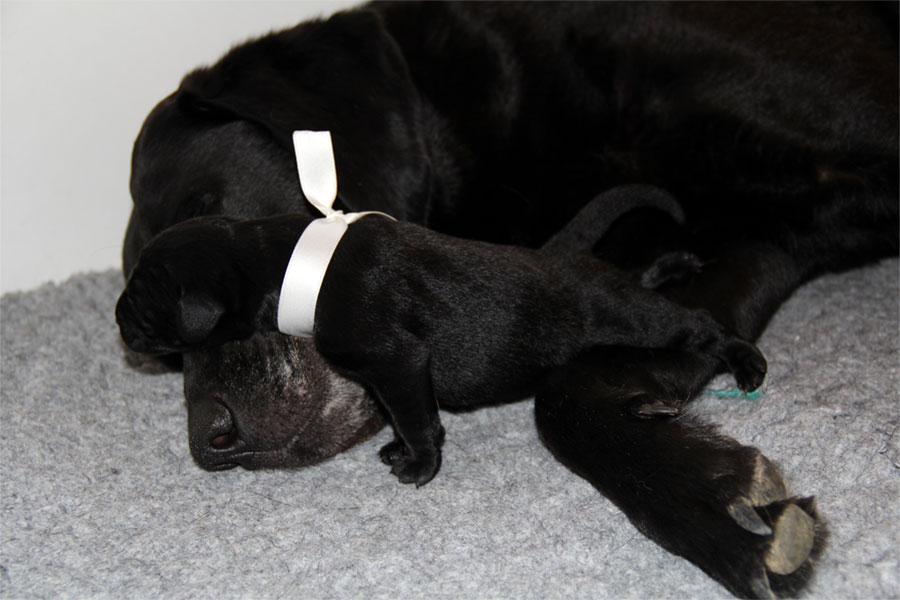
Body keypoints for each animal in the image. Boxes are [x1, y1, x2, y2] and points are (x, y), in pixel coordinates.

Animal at [121, 2, 898, 597]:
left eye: (208, 213)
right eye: (163, 359)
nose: (210, 438)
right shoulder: (768, 242)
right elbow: (586, 385)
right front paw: (712, 505)